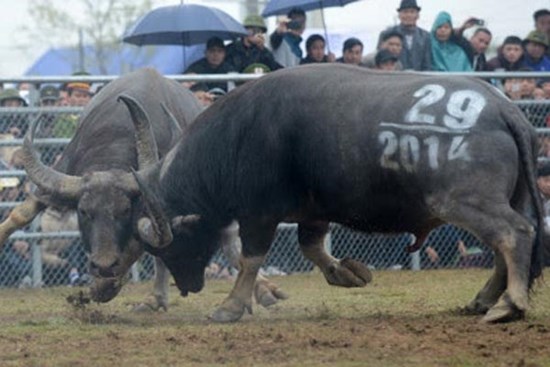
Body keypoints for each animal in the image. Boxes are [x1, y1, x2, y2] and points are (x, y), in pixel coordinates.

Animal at [3, 68, 288, 308]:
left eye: (124, 212)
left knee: (229, 243)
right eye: (84, 212)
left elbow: (138, 248)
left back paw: (263, 290)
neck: (116, 133)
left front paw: (105, 286)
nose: (102, 266)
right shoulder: (60, 174)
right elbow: (21, 214)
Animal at [124, 64, 548, 324]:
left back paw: (509, 304)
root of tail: (505, 110)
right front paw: (348, 273)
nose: (188, 286)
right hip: (504, 199)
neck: (239, 133)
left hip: (465, 201)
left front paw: (229, 306)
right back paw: (483, 300)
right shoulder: (312, 213)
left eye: (173, 246)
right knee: (506, 244)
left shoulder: (259, 214)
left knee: (515, 234)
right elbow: (312, 247)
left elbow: (250, 259)